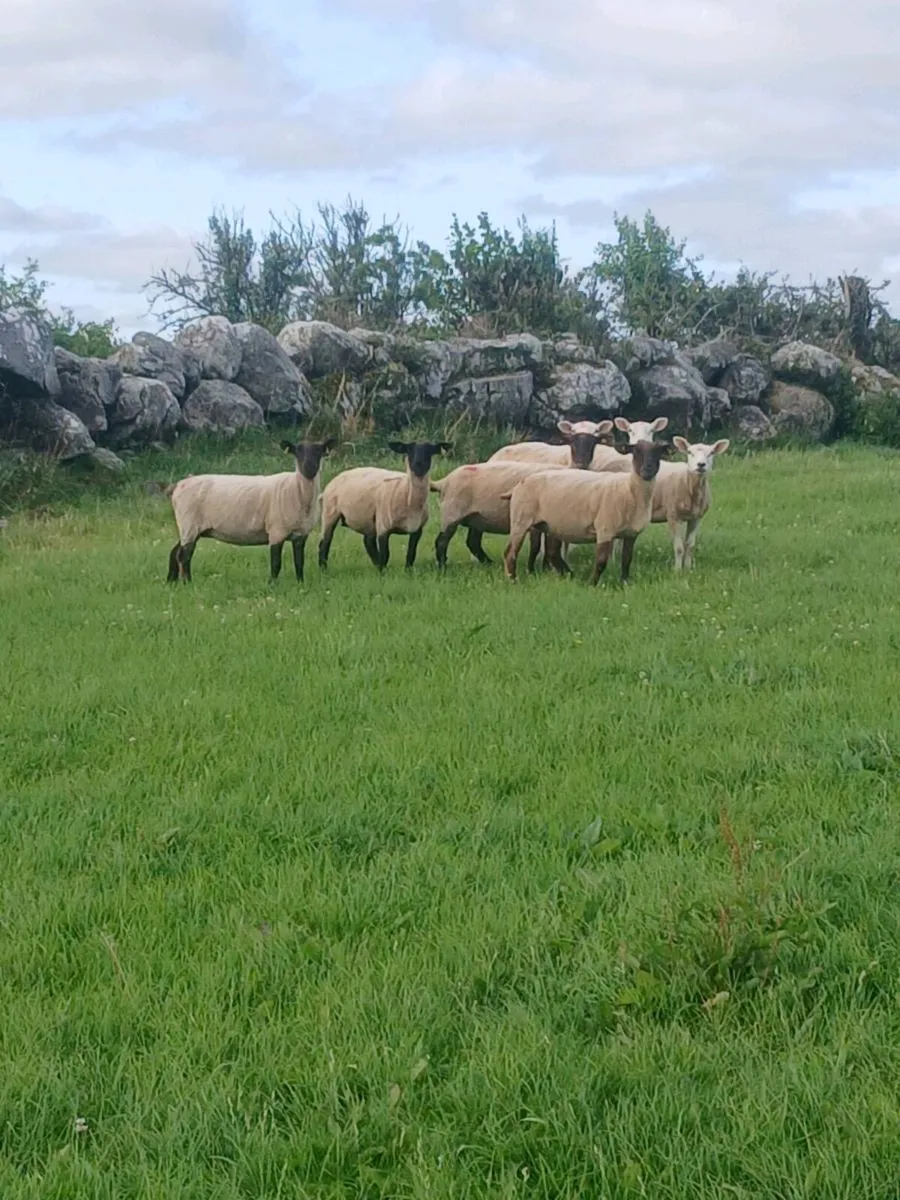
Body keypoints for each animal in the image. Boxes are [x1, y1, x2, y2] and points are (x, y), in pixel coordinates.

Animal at [166, 437, 336, 584]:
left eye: (319, 451)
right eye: (297, 452)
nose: (309, 468)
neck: (296, 490)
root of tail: (178, 486)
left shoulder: (300, 534)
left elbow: (299, 562)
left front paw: (301, 583)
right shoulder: (276, 531)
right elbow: (276, 563)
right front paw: (272, 585)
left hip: (189, 527)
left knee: (175, 552)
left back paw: (171, 583)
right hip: (189, 524)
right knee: (184, 556)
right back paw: (187, 583)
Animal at [318, 440, 452, 570]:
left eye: (429, 450)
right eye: (409, 450)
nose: (418, 465)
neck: (407, 494)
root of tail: (337, 477)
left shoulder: (417, 529)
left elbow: (411, 553)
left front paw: (407, 571)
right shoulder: (384, 527)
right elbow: (385, 554)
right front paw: (383, 573)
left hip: (368, 520)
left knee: (368, 541)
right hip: (330, 512)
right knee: (325, 542)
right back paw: (323, 569)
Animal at [431, 459, 568, 569]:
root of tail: (444, 482)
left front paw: (546, 568)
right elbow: (536, 546)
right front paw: (533, 570)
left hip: (477, 519)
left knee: (472, 542)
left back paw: (489, 563)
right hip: (451, 513)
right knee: (442, 541)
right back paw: (442, 567)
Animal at [502, 440, 670, 585]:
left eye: (658, 452)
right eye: (635, 452)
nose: (647, 470)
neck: (630, 491)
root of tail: (518, 485)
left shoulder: (631, 534)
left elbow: (627, 560)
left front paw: (625, 584)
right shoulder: (605, 529)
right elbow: (601, 561)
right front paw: (592, 584)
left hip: (549, 524)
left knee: (552, 553)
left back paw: (569, 575)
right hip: (521, 520)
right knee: (510, 552)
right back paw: (513, 580)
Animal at [650, 436, 730, 569]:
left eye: (711, 453)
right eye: (689, 452)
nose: (701, 464)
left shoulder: (695, 518)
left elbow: (690, 545)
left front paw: (688, 569)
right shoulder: (673, 516)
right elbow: (678, 547)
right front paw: (677, 570)